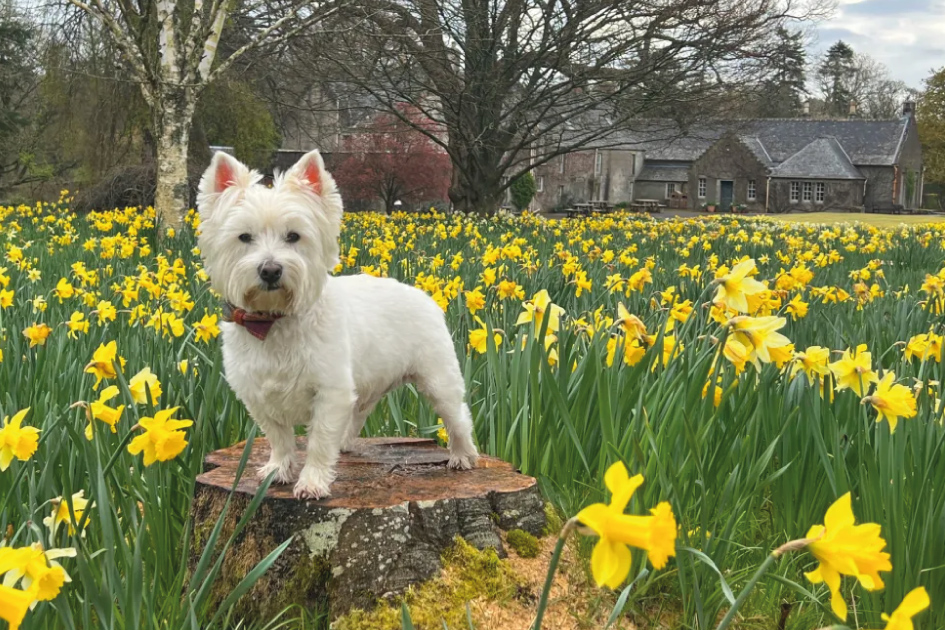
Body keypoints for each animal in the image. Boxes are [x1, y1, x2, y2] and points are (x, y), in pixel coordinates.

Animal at [197, 152, 480, 498]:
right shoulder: (258, 394)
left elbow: (319, 441)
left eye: (293, 236)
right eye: (244, 237)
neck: (273, 321)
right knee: (359, 412)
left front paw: (312, 482)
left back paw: (463, 456)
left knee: (457, 415)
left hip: (437, 376)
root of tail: (426, 295)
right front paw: (277, 470)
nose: (270, 270)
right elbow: (279, 437)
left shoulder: (330, 391)